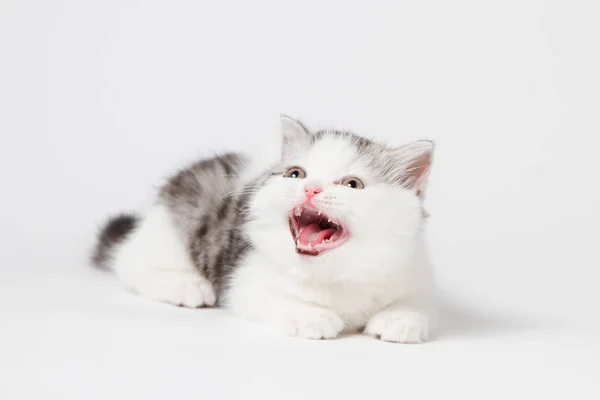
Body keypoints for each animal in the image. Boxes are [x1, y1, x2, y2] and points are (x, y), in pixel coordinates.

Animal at [91, 115, 434, 344]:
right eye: (296, 174)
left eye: (352, 184)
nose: (310, 189)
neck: (335, 273)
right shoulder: (244, 278)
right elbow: (269, 296)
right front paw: (312, 315)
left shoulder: (410, 267)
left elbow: (422, 302)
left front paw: (402, 318)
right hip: (171, 225)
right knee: (129, 261)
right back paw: (186, 285)